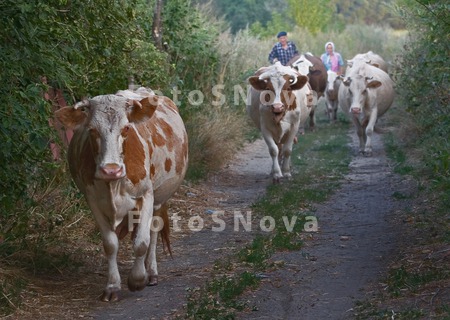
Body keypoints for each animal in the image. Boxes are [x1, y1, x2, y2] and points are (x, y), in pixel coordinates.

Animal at [54, 87, 188, 300]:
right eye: (92, 129)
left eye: (126, 128)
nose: (111, 170)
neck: (113, 185)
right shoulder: (93, 200)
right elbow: (110, 244)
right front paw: (112, 286)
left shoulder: (147, 195)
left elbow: (142, 242)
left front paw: (137, 279)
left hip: (159, 199)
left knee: (153, 232)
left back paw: (151, 272)